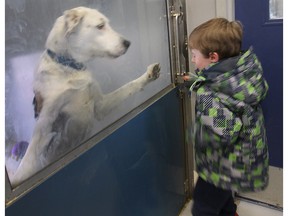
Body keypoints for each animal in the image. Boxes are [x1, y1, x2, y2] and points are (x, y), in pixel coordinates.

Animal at [10, 5, 160, 186]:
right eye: (100, 26)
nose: (128, 43)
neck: (71, 67)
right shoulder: (46, 119)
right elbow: (30, 156)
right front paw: (19, 178)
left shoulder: (100, 106)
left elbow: (128, 86)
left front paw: (148, 76)